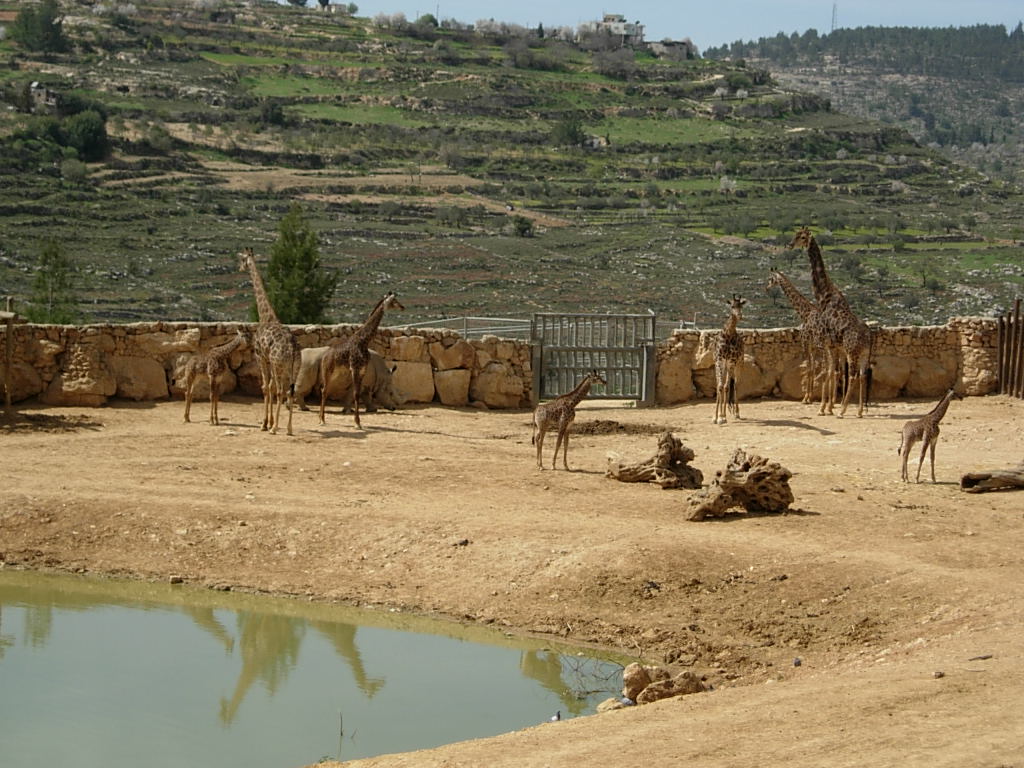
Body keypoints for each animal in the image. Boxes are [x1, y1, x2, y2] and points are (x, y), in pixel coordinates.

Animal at [238, 248, 301, 435]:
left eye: (242, 259)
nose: (239, 267)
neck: (265, 316)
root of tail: (293, 348)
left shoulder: (261, 357)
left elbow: (266, 387)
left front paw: (265, 424)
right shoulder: (269, 361)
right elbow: (271, 387)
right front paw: (270, 422)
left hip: (278, 365)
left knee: (281, 391)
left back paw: (275, 428)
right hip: (293, 367)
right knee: (290, 391)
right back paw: (288, 428)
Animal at [318, 292, 405, 429]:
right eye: (393, 301)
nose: (402, 307)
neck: (364, 341)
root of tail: (324, 357)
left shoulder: (363, 369)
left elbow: (357, 393)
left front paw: (358, 422)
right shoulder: (355, 368)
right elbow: (356, 394)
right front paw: (357, 423)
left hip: (335, 373)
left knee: (324, 390)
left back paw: (321, 418)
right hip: (327, 371)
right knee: (324, 390)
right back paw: (322, 420)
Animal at [712, 294, 746, 425]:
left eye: (741, 305)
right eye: (732, 306)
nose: (740, 316)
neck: (728, 334)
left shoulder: (731, 361)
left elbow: (726, 387)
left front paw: (723, 416)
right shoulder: (719, 361)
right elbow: (719, 386)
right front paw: (716, 417)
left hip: (739, 364)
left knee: (735, 385)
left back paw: (737, 413)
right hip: (725, 366)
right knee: (722, 385)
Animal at [766, 268, 839, 410]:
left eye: (771, 279)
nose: (766, 288)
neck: (804, 313)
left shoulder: (805, 342)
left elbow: (809, 368)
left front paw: (806, 398)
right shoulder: (812, 345)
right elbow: (811, 368)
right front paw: (809, 397)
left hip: (826, 346)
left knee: (828, 369)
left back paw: (827, 404)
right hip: (834, 348)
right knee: (834, 370)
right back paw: (832, 402)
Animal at [789, 227, 873, 418]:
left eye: (802, 237)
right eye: (795, 234)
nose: (790, 245)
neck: (824, 296)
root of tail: (867, 337)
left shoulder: (827, 343)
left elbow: (829, 371)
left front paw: (824, 407)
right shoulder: (833, 345)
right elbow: (832, 371)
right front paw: (827, 406)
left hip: (851, 352)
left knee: (853, 376)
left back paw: (843, 410)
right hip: (864, 353)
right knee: (862, 375)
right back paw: (859, 411)